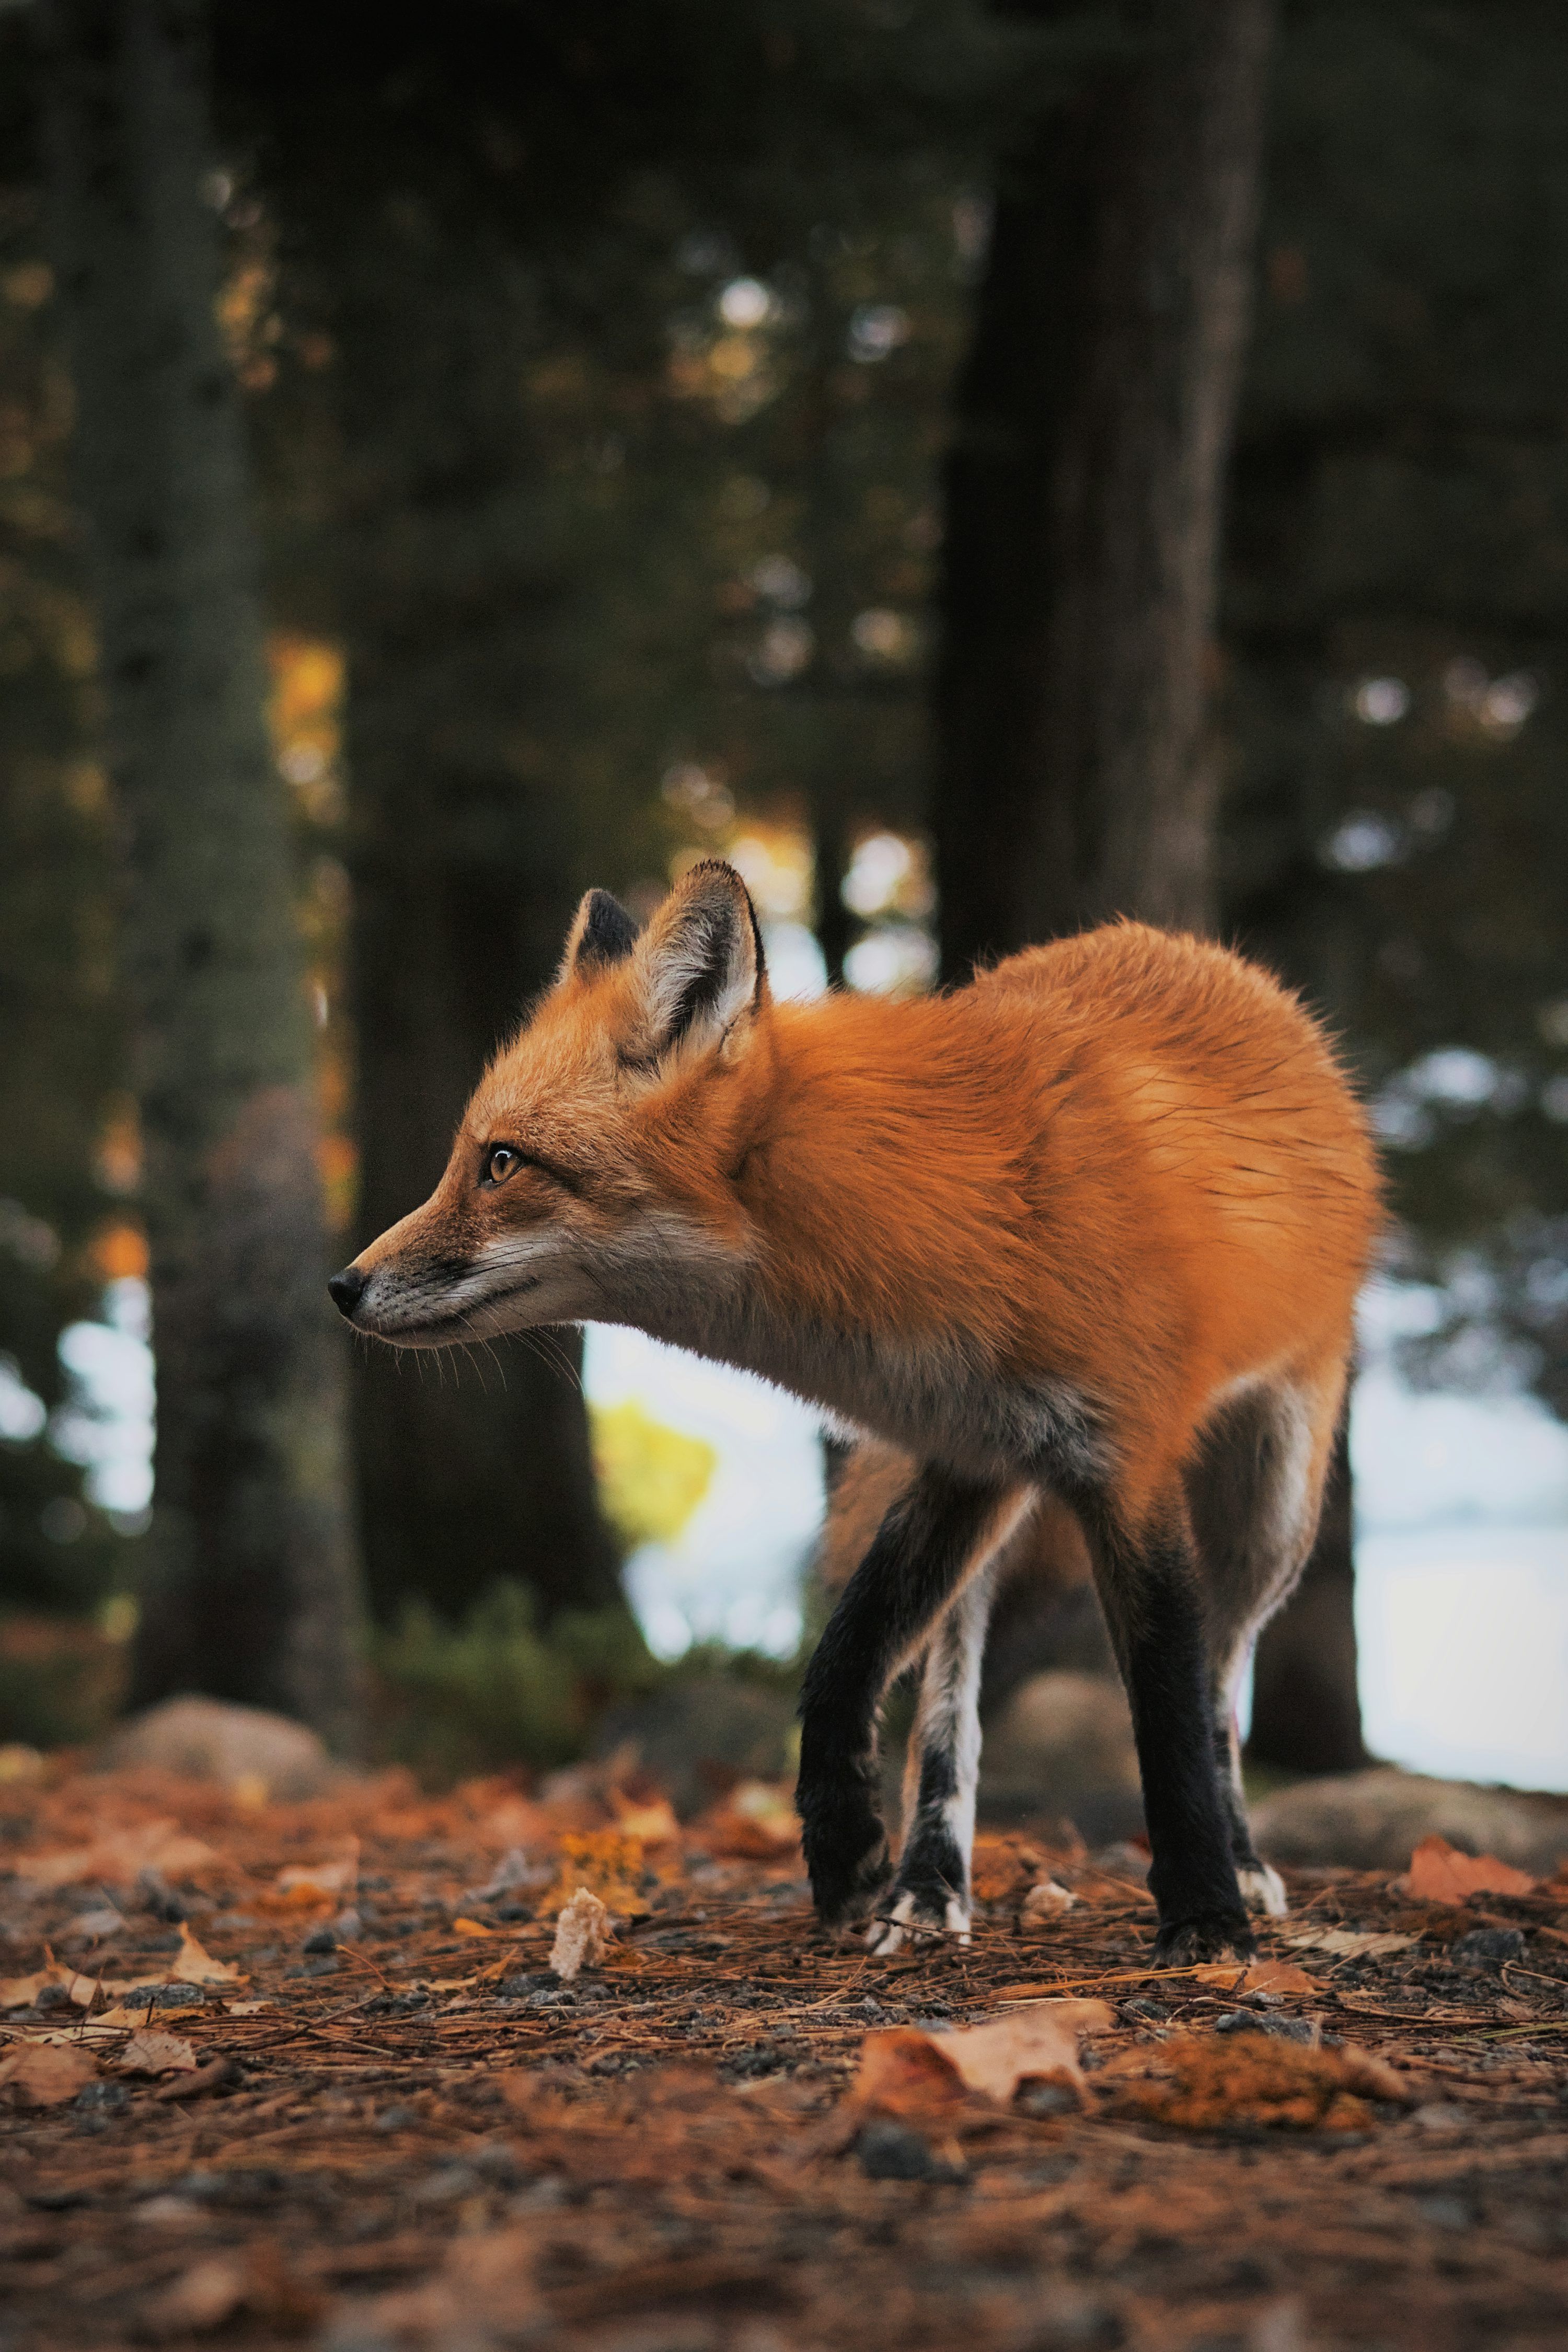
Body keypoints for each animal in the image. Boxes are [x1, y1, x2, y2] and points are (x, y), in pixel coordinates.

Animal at [329, 858, 1381, 1961]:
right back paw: (928, 1882)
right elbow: (844, 1660)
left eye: (502, 1163)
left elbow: (1169, 1710)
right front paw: (843, 1852)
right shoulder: (973, 1456)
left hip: (1270, 1515)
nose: (342, 1287)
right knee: (950, 1704)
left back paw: (1243, 1862)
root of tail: (1228, 966)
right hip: (993, 1504)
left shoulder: (1126, 1464)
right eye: (471, 1157)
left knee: (1221, 1676)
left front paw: (1206, 1915)